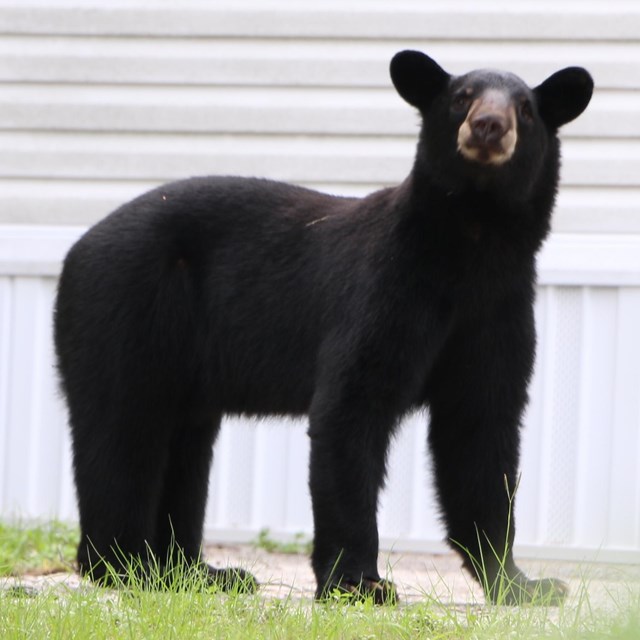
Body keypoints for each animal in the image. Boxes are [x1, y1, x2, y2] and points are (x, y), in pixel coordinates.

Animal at [52, 51, 592, 604]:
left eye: (525, 108)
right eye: (461, 98)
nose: (488, 125)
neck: (473, 247)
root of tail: (75, 251)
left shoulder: (497, 313)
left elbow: (481, 432)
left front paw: (522, 583)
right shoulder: (384, 291)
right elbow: (350, 410)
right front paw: (358, 582)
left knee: (184, 445)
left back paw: (196, 573)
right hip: (125, 309)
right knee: (123, 427)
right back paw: (126, 566)